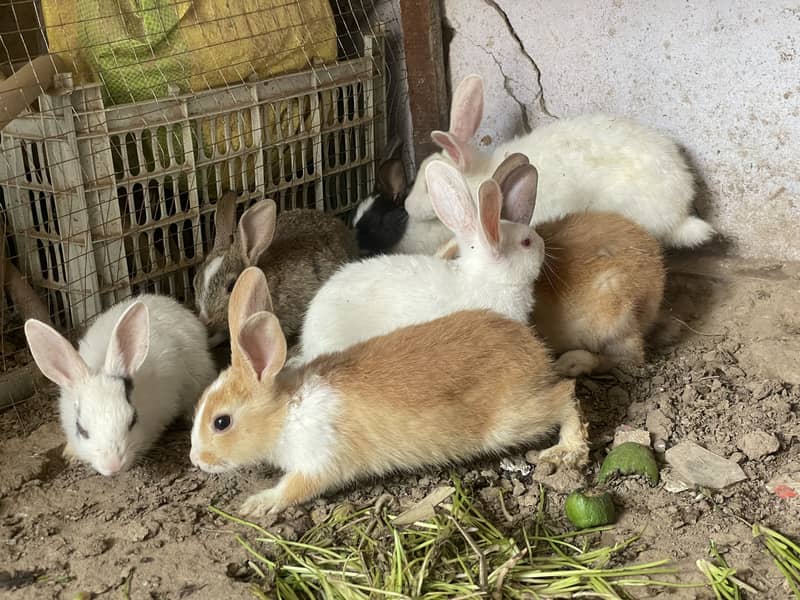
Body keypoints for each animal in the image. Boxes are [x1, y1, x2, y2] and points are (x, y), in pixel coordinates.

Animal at [189, 267, 589, 516]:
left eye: (221, 422)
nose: (197, 460)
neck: (287, 411)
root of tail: (536, 352)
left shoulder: (318, 461)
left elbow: (294, 488)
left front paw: (258, 503)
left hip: (513, 420)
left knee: (565, 396)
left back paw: (569, 450)